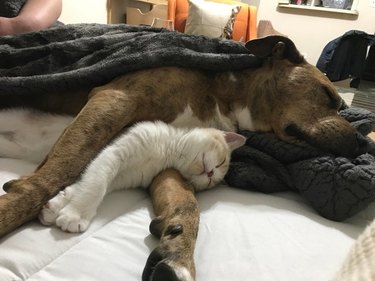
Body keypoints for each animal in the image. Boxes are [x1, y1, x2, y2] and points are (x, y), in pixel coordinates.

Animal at [0, 35, 368, 280]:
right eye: (328, 95)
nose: (364, 143)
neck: (224, 95)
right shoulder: (112, 100)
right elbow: (57, 171)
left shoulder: (167, 159)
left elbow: (186, 204)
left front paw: (178, 252)